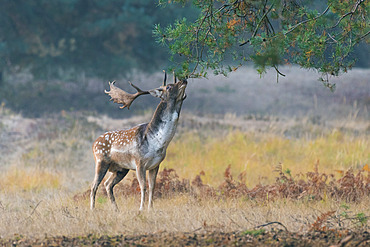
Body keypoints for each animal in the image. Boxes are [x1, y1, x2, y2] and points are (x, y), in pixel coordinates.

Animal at [90, 71, 188, 210]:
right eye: (168, 87)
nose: (184, 80)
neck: (157, 142)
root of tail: (93, 143)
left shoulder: (156, 164)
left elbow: (152, 187)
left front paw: (150, 208)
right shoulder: (139, 162)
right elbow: (143, 186)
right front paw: (141, 209)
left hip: (121, 168)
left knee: (108, 184)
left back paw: (116, 210)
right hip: (101, 161)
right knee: (94, 185)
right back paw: (92, 209)